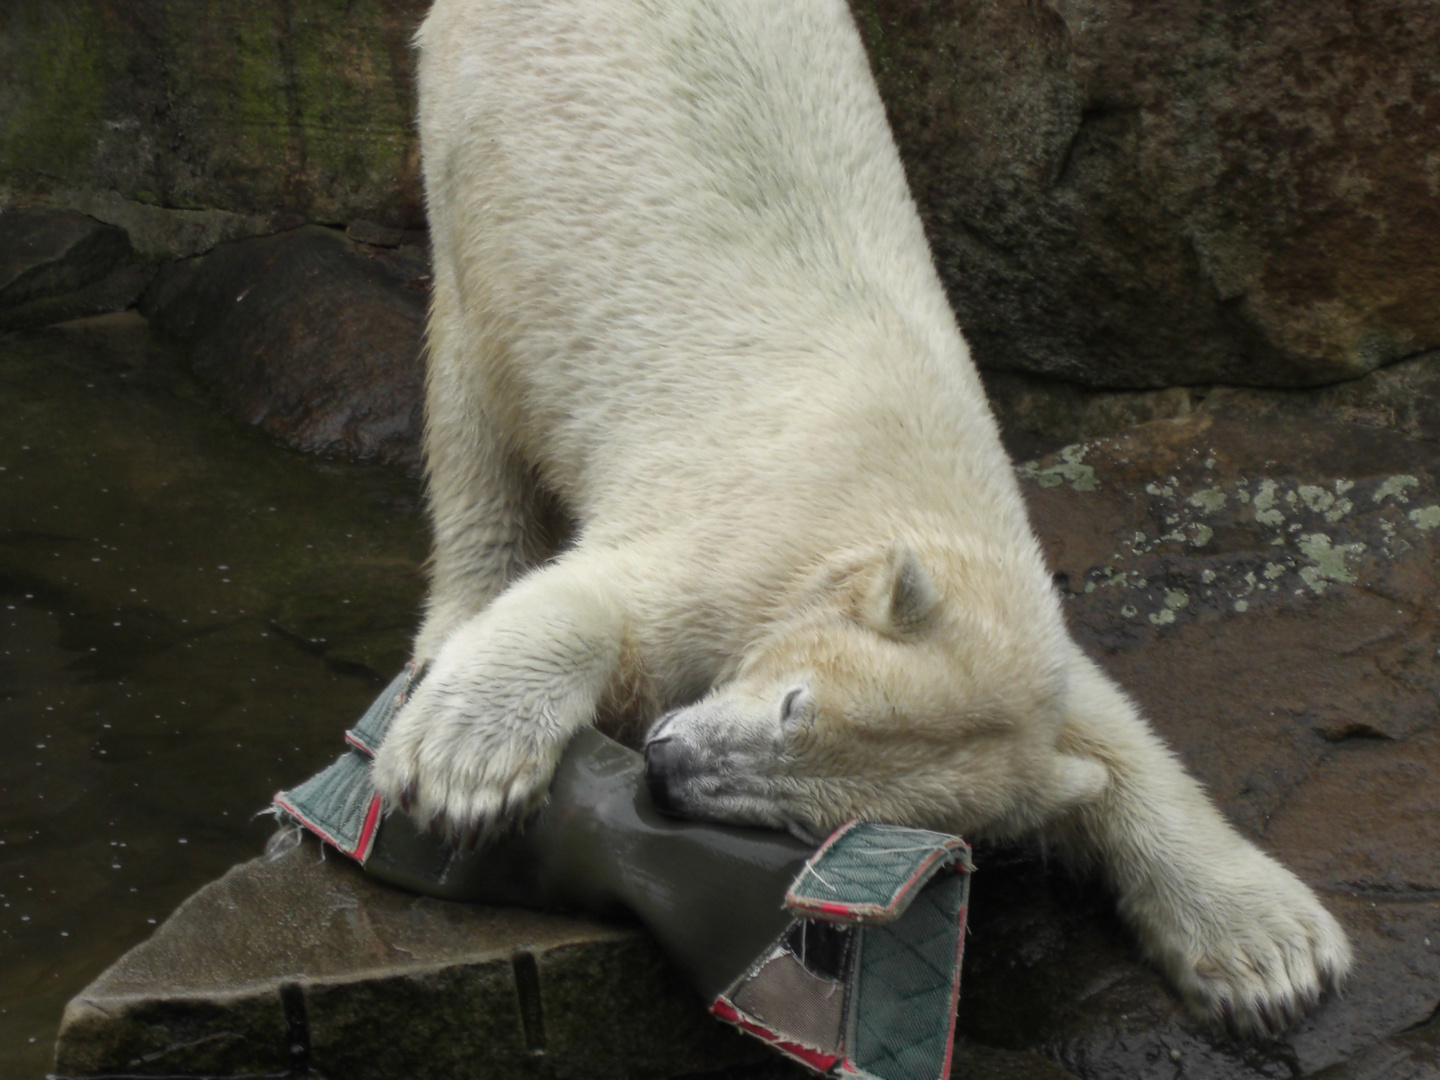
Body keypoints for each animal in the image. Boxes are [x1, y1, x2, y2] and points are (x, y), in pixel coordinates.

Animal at [371, 0, 1347, 1042]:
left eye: (813, 821)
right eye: (795, 702)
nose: (667, 765)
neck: (908, 497)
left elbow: (1113, 740)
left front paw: (1275, 959)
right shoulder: (755, 520)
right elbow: (605, 601)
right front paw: (461, 770)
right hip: (479, 157)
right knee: (474, 411)